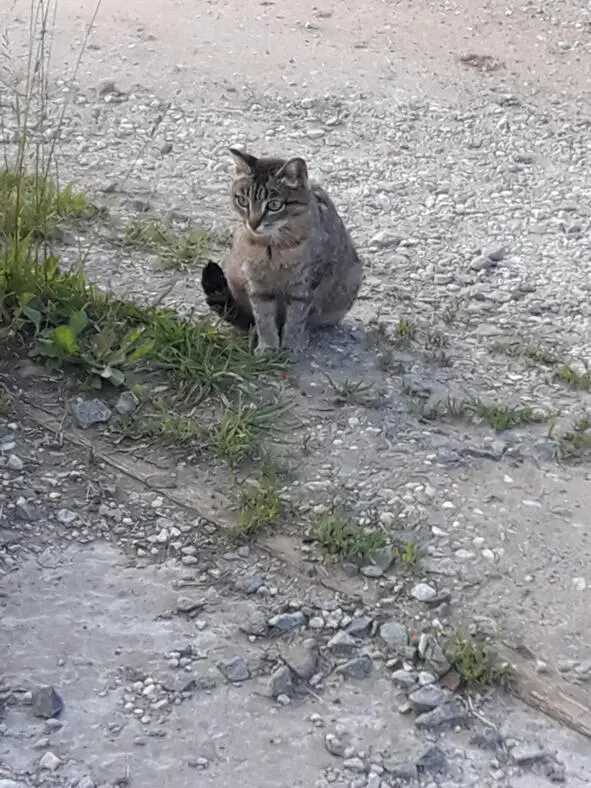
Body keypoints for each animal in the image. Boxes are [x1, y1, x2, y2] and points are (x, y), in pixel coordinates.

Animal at [201, 149, 364, 358]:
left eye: (274, 205)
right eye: (242, 201)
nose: (252, 223)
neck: (272, 248)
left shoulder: (304, 285)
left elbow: (296, 317)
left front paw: (291, 344)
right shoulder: (257, 285)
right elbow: (263, 317)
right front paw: (268, 346)